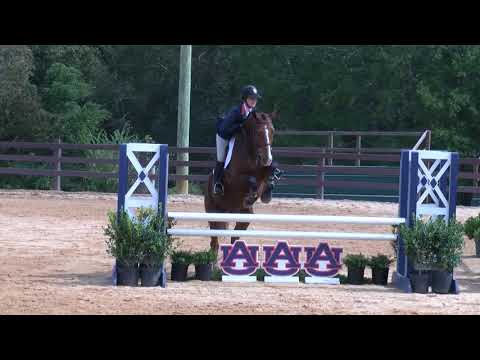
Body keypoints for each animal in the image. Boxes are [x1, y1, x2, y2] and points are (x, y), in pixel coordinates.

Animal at [204, 110, 280, 253]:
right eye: (258, 133)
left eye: (273, 131)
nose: (267, 159)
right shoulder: (233, 178)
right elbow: (251, 180)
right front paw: (250, 196)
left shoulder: (262, 175)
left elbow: (264, 180)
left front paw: (270, 185)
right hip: (213, 212)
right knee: (214, 242)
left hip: (244, 217)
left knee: (234, 238)